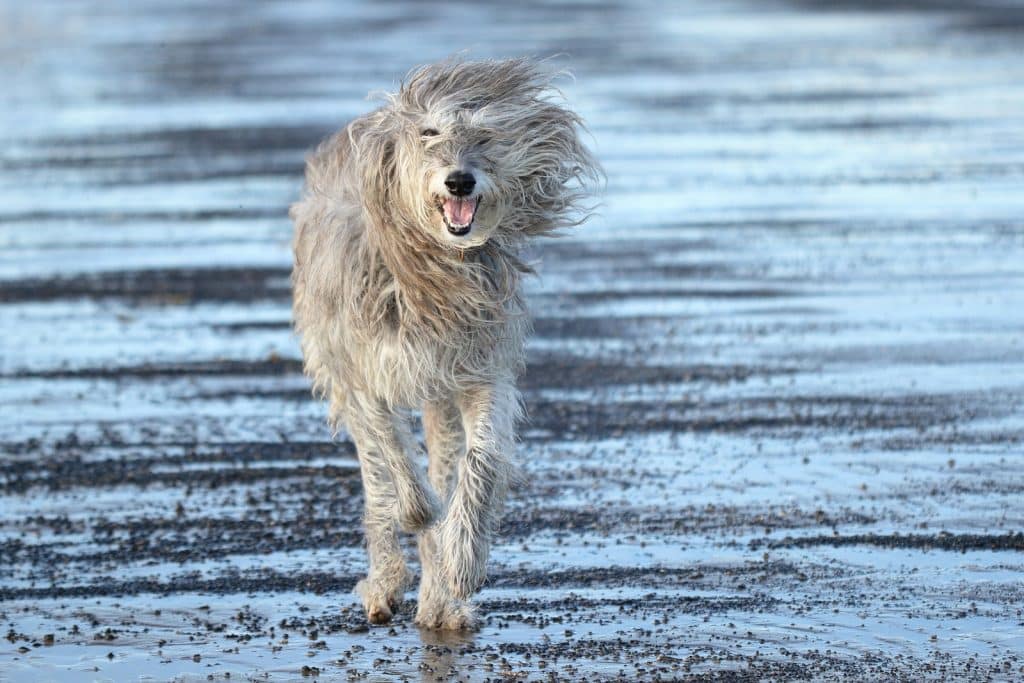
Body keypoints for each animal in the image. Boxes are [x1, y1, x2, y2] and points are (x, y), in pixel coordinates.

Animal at [290, 58, 598, 630]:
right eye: (429, 132)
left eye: (485, 133)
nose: (459, 179)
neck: (429, 271)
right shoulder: (360, 369)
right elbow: (394, 459)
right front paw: (419, 513)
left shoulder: (477, 369)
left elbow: (480, 461)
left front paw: (463, 562)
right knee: (376, 474)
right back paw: (386, 580)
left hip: (439, 394)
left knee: (445, 461)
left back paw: (439, 595)